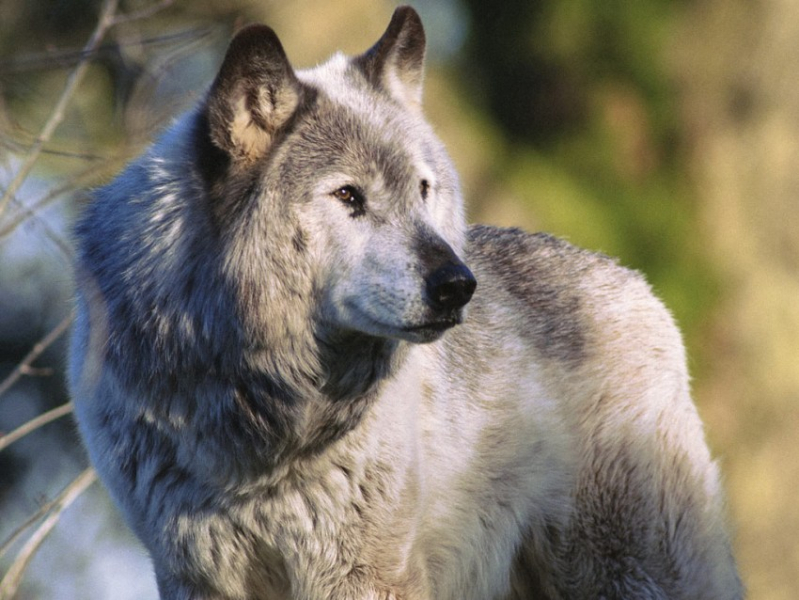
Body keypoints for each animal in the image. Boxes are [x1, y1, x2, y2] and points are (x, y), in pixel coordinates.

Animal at [69, 5, 744, 600]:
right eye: (348, 195)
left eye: (423, 190)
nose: (458, 285)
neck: (256, 415)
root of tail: (636, 282)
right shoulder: (195, 574)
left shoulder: (361, 573)